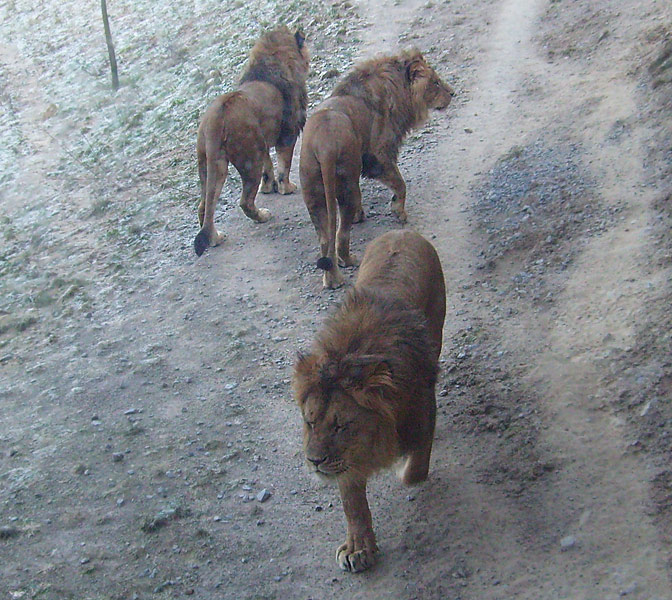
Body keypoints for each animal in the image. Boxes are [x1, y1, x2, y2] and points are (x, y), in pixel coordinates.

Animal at [194, 27, 310, 256]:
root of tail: (216, 116)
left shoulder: (263, 142)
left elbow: (269, 167)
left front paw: (268, 187)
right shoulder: (288, 133)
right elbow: (284, 166)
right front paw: (286, 188)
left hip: (211, 163)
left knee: (204, 205)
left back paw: (215, 238)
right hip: (249, 159)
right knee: (245, 202)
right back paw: (262, 216)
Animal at [290, 230, 444, 572]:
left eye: (341, 426)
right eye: (309, 422)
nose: (313, 461)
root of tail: (403, 232)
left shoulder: (424, 411)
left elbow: (415, 472)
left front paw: (403, 469)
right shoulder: (345, 460)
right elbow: (353, 503)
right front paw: (358, 548)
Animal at [300, 48, 454, 288]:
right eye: (435, 82)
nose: (453, 93)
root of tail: (323, 145)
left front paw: (361, 214)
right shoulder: (379, 155)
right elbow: (401, 184)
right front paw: (398, 211)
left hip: (313, 194)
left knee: (326, 239)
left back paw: (331, 280)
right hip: (347, 185)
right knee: (341, 234)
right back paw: (348, 261)